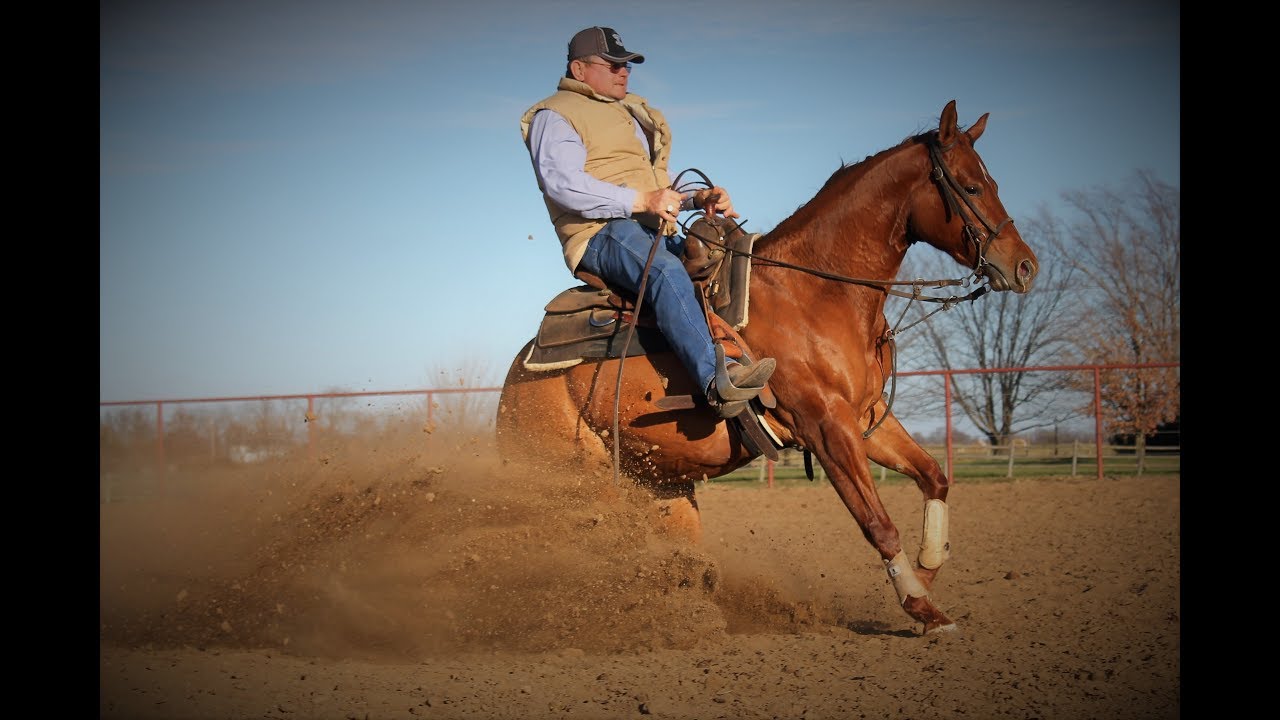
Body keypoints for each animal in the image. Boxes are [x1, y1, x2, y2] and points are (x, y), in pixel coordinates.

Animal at [496, 100, 1038, 635]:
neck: (815, 294)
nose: (1025, 266)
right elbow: (878, 524)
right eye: (970, 187)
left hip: (662, 486)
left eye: (992, 182)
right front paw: (919, 606)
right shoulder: (825, 427)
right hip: (572, 481)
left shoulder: (865, 419)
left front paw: (927, 570)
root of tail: (512, 385)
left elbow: (934, 476)